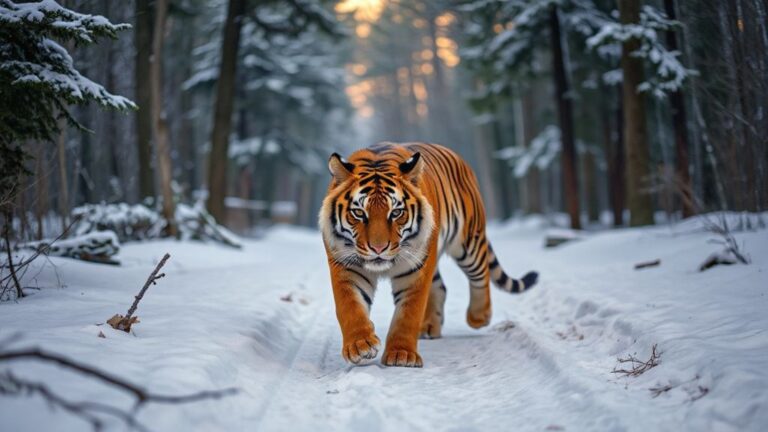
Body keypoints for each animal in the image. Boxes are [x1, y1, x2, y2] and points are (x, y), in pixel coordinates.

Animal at [319, 142, 539, 368]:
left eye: (396, 213)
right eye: (359, 213)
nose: (378, 249)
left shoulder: (415, 270)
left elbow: (409, 313)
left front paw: (401, 355)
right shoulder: (346, 267)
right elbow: (349, 306)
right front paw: (360, 345)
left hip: (468, 242)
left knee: (481, 273)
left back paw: (479, 316)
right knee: (440, 287)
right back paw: (430, 327)